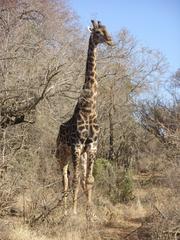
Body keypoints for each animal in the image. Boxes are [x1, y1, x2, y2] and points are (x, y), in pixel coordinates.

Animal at [56, 20, 112, 216]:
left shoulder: (92, 146)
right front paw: (74, 213)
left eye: (107, 29)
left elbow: (89, 180)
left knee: (77, 178)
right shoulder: (77, 146)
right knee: (65, 179)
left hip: (82, 156)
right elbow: (75, 180)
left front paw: (90, 213)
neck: (89, 108)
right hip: (62, 155)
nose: (110, 40)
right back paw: (65, 211)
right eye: (98, 32)